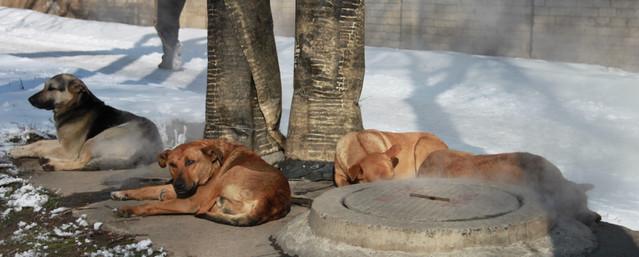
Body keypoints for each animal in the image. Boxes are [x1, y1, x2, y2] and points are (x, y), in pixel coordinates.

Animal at [9, 73, 164, 170]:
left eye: (52, 88)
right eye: (44, 86)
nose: (29, 99)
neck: (75, 106)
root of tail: (149, 149)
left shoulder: (69, 150)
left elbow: (40, 148)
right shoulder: (63, 143)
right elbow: (39, 143)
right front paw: (18, 150)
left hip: (97, 139)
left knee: (81, 162)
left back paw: (52, 164)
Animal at [111, 139, 292, 225]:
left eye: (190, 162)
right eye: (172, 165)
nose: (178, 186)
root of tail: (271, 201)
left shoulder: (191, 201)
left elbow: (151, 205)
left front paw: (129, 209)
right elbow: (146, 189)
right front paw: (121, 193)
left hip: (233, 171)